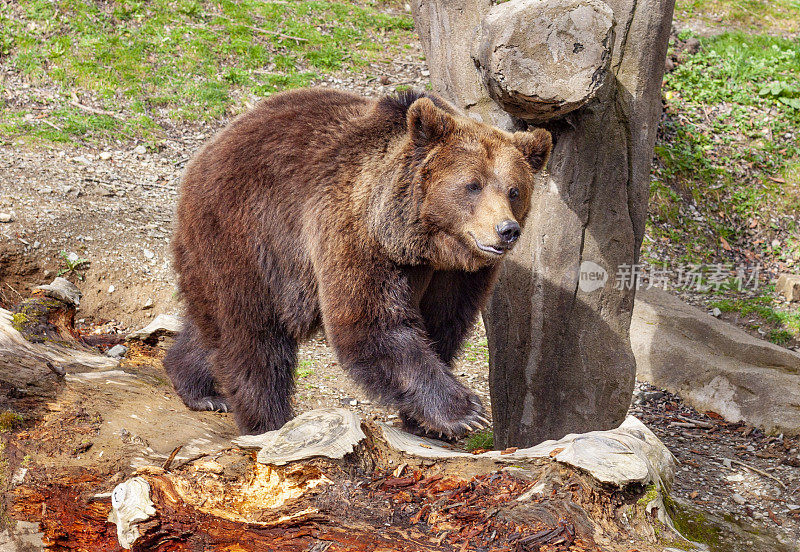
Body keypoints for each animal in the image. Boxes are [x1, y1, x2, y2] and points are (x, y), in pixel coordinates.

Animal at [162, 88, 552, 438]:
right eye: (473, 185)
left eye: (514, 190)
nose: (506, 230)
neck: (423, 242)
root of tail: (209, 148)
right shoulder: (356, 233)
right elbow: (371, 324)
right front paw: (464, 412)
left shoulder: (455, 276)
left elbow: (442, 325)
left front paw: (426, 423)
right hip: (246, 234)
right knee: (252, 333)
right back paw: (267, 421)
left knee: (214, 324)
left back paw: (198, 388)